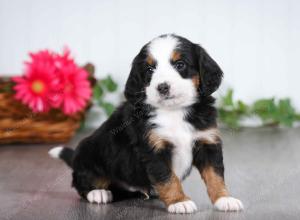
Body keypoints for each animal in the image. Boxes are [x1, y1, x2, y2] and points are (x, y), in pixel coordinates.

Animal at [48, 34, 243, 213]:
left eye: (180, 64)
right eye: (149, 69)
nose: (162, 87)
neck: (174, 112)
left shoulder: (207, 141)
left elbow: (215, 175)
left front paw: (224, 199)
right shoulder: (153, 149)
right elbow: (167, 177)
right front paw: (179, 201)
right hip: (90, 153)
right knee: (83, 183)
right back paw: (99, 193)